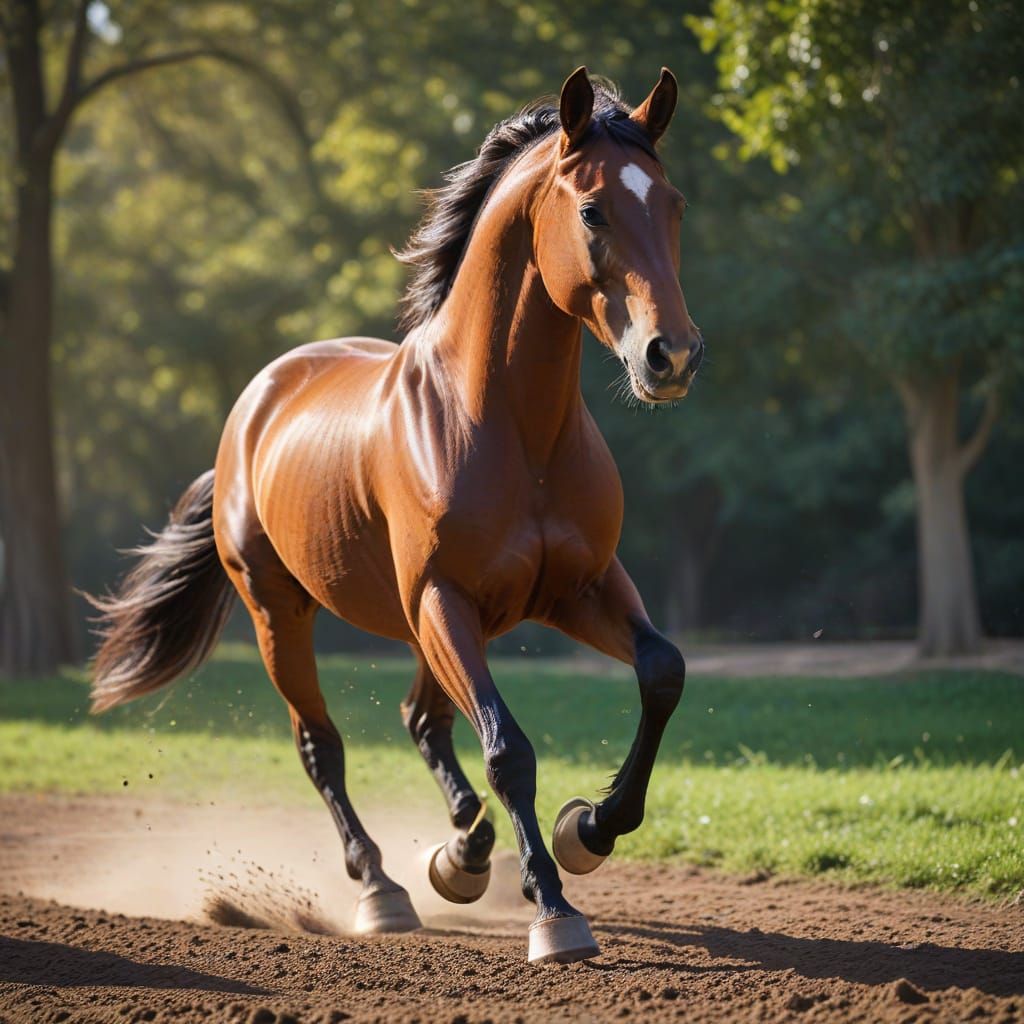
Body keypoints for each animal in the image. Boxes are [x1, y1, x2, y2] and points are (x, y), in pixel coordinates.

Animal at [89, 66, 704, 965]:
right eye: (592, 210)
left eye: (673, 204)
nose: (672, 356)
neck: (510, 426)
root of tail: (255, 405)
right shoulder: (444, 598)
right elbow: (508, 749)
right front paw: (555, 911)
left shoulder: (579, 587)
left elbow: (662, 672)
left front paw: (587, 829)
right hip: (286, 612)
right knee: (324, 746)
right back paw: (384, 888)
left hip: (430, 624)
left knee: (422, 722)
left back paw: (463, 855)